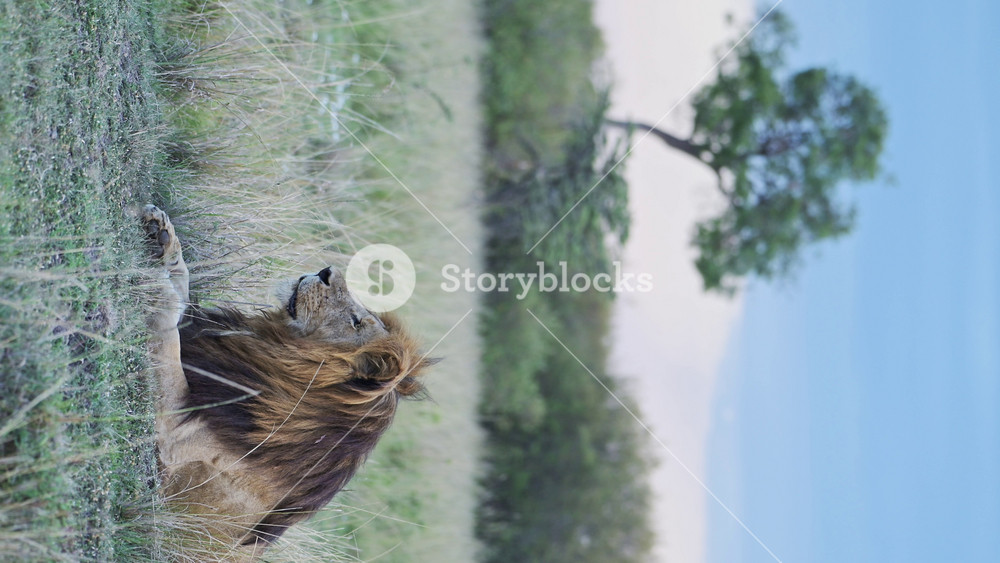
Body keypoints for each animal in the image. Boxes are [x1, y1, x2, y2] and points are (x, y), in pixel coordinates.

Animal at [141, 205, 434, 558]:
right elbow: (182, 289)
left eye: (355, 322)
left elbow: (169, 324)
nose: (326, 272)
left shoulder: (174, 439)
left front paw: (152, 282)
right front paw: (164, 237)